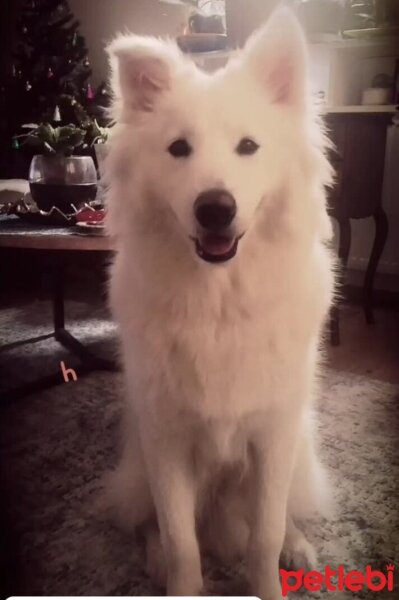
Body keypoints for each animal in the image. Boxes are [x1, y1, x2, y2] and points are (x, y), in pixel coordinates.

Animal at [104, 5, 334, 600]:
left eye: (248, 147)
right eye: (178, 149)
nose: (215, 209)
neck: (219, 304)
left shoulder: (273, 437)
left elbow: (265, 534)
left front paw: (271, 579)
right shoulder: (166, 444)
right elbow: (182, 543)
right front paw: (178, 577)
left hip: (299, 449)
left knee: (281, 517)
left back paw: (298, 548)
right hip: (138, 466)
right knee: (148, 524)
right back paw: (151, 558)